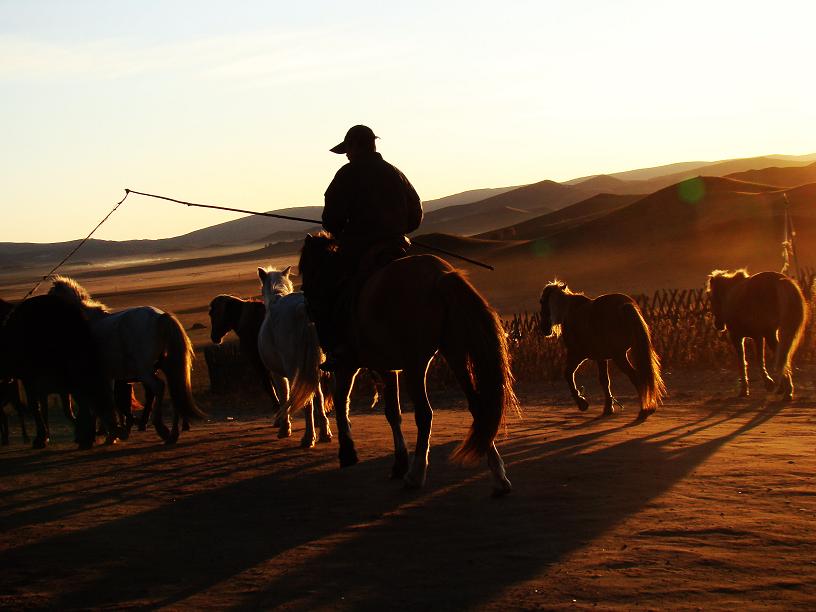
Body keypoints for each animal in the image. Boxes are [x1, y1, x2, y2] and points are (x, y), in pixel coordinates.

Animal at [48, 278, 206, 444]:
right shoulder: (109, 377)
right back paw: (173, 433)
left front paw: (112, 433)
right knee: (174, 392)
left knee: (159, 387)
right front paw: (114, 431)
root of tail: (160, 317)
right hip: (167, 367)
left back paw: (161, 428)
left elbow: (105, 403)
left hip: (145, 371)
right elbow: (111, 402)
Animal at [255, 266, 332, 448]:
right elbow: (317, 396)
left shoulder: (278, 374)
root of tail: (303, 309)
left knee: (306, 402)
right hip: (313, 368)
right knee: (316, 396)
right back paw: (324, 434)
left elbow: (285, 396)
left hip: (294, 369)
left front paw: (284, 428)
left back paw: (308, 438)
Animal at [298, 232, 516, 494]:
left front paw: (348, 453)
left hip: (416, 364)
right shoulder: (387, 368)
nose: (308, 302)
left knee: (425, 414)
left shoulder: (347, 365)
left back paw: (416, 474)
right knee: (477, 407)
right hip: (455, 355)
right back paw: (499, 476)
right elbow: (393, 413)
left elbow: (342, 402)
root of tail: (440, 276)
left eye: (306, 268)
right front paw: (399, 462)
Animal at [540, 280, 664, 420]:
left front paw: (582, 403)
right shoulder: (601, 357)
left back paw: (644, 409)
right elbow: (604, 380)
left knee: (636, 377)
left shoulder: (576, 354)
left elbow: (568, 374)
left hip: (619, 356)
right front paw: (608, 408)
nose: (544, 328)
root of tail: (624, 306)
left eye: (542, 302)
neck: (570, 311)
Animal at [704, 270, 808, 400]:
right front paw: (772, 385)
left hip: (769, 334)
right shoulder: (758, 336)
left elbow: (744, 362)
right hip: (772, 333)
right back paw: (786, 391)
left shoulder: (738, 337)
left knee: (782, 357)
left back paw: (786, 391)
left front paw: (747, 389)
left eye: (711, 297)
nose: (717, 325)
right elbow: (759, 360)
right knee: (783, 356)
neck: (730, 295)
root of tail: (780, 281)